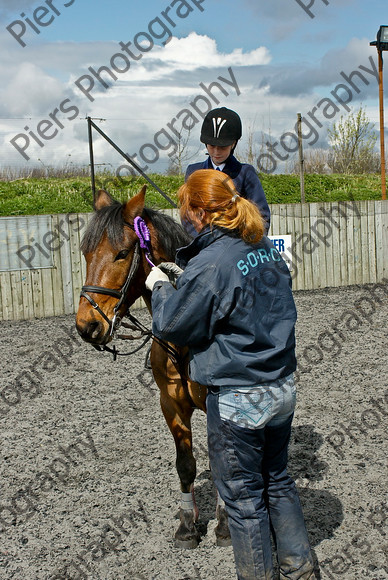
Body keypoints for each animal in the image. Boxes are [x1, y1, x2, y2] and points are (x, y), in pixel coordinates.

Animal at [76, 186, 230, 548]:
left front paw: (224, 525)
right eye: (86, 253)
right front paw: (188, 525)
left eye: (121, 253)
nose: (87, 325)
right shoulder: (171, 404)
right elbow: (185, 465)